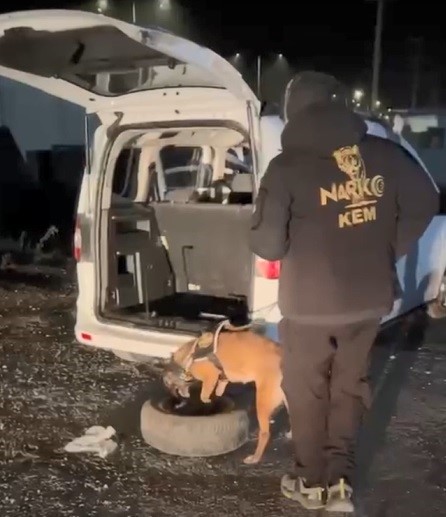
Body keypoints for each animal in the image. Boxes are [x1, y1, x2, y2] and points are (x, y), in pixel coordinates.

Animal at [163, 320, 290, 466]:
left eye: (170, 385)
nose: (178, 400)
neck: (189, 355)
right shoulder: (222, 378)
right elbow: (219, 389)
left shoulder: (210, 377)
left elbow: (204, 394)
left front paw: (206, 400)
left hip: (262, 402)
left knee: (265, 434)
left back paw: (255, 457)